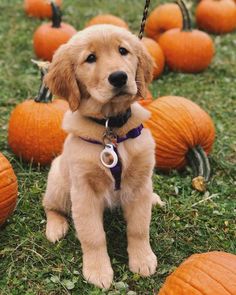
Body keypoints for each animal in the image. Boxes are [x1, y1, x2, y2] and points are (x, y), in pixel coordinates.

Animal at [43, 24, 163, 290]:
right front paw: (98, 271)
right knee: (50, 206)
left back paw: (155, 199)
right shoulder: (84, 192)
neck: (111, 128)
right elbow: (93, 235)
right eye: (90, 58)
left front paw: (143, 259)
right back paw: (55, 227)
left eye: (123, 51)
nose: (119, 77)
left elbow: (139, 227)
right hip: (58, 182)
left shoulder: (140, 183)